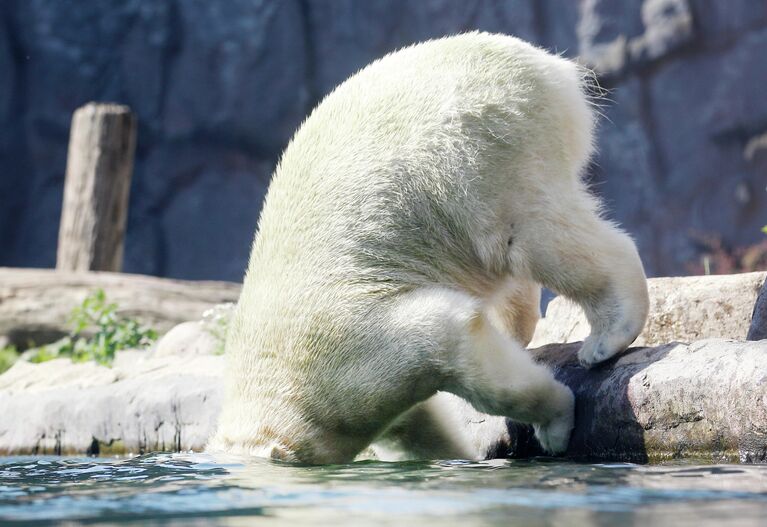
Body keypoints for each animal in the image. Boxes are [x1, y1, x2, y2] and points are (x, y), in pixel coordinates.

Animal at [208, 31, 648, 464]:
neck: (271, 371)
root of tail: (550, 68)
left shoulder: (347, 352)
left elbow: (448, 336)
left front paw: (554, 425)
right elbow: (417, 424)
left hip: (481, 153)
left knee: (533, 238)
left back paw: (606, 337)